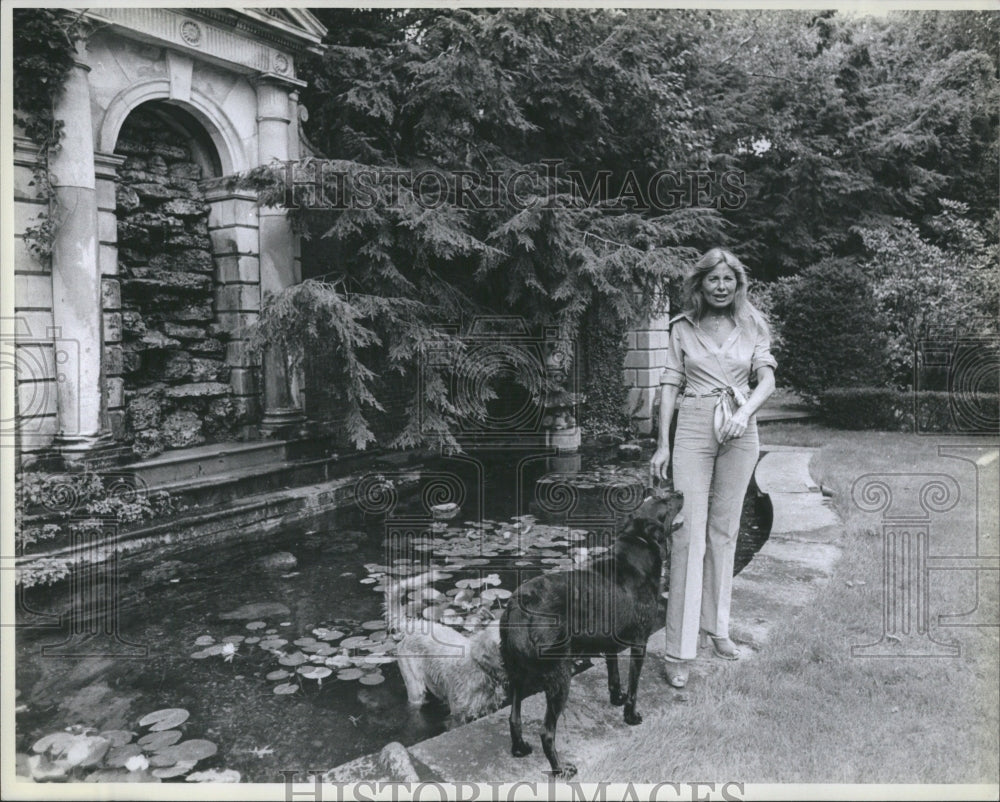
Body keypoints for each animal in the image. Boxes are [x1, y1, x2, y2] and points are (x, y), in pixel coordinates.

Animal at [498, 488, 680, 776]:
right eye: (665, 502)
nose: (681, 492)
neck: (636, 545)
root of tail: (520, 604)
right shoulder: (640, 642)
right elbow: (634, 685)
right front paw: (630, 715)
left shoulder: (611, 642)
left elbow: (614, 675)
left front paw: (616, 698)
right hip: (559, 675)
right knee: (546, 732)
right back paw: (561, 769)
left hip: (516, 672)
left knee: (514, 717)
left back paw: (520, 749)